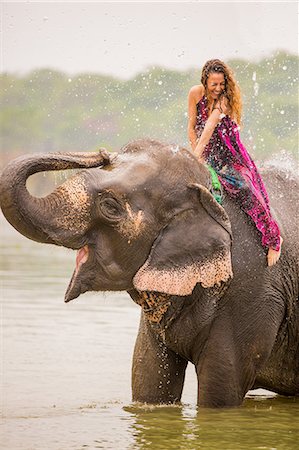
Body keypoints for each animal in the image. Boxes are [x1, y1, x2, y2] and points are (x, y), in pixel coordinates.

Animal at [0, 138, 299, 408]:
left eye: (110, 207)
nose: (102, 153)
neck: (207, 193)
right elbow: (149, 378)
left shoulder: (251, 296)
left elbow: (220, 392)